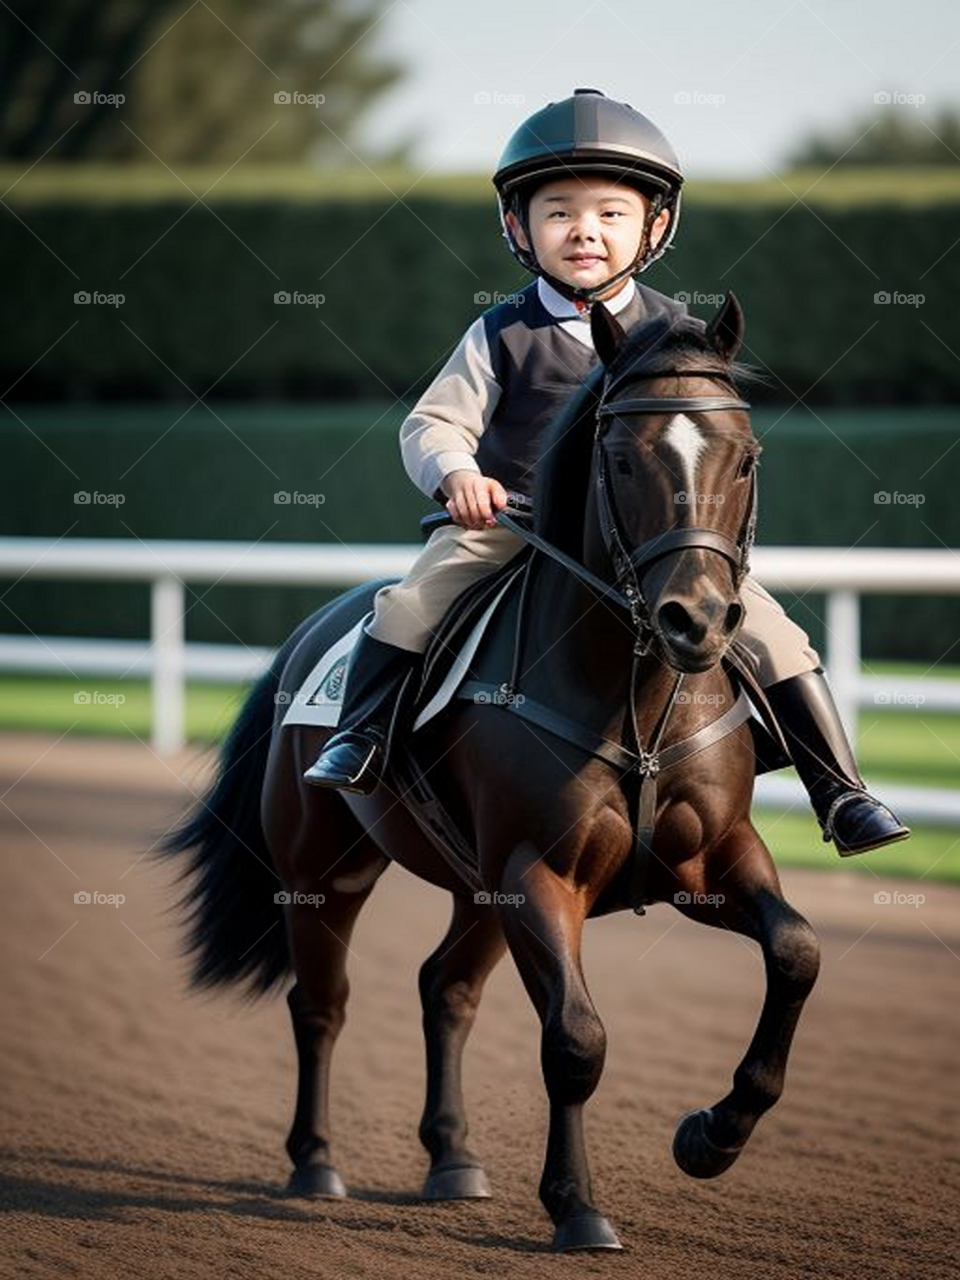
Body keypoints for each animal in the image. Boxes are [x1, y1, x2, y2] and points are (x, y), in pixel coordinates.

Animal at [161, 293, 821, 1253]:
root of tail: (318, 621)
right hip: (326, 876)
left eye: (746, 457)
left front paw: (713, 1134)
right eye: (623, 457)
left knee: (446, 991)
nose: (696, 620)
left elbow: (797, 952)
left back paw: (453, 1160)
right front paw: (577, 1206)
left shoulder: (711, 861)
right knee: (321, 1004)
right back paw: (316, 1164)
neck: (630, 690)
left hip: (475, 891)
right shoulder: (537, 874)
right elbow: (576, 1039)